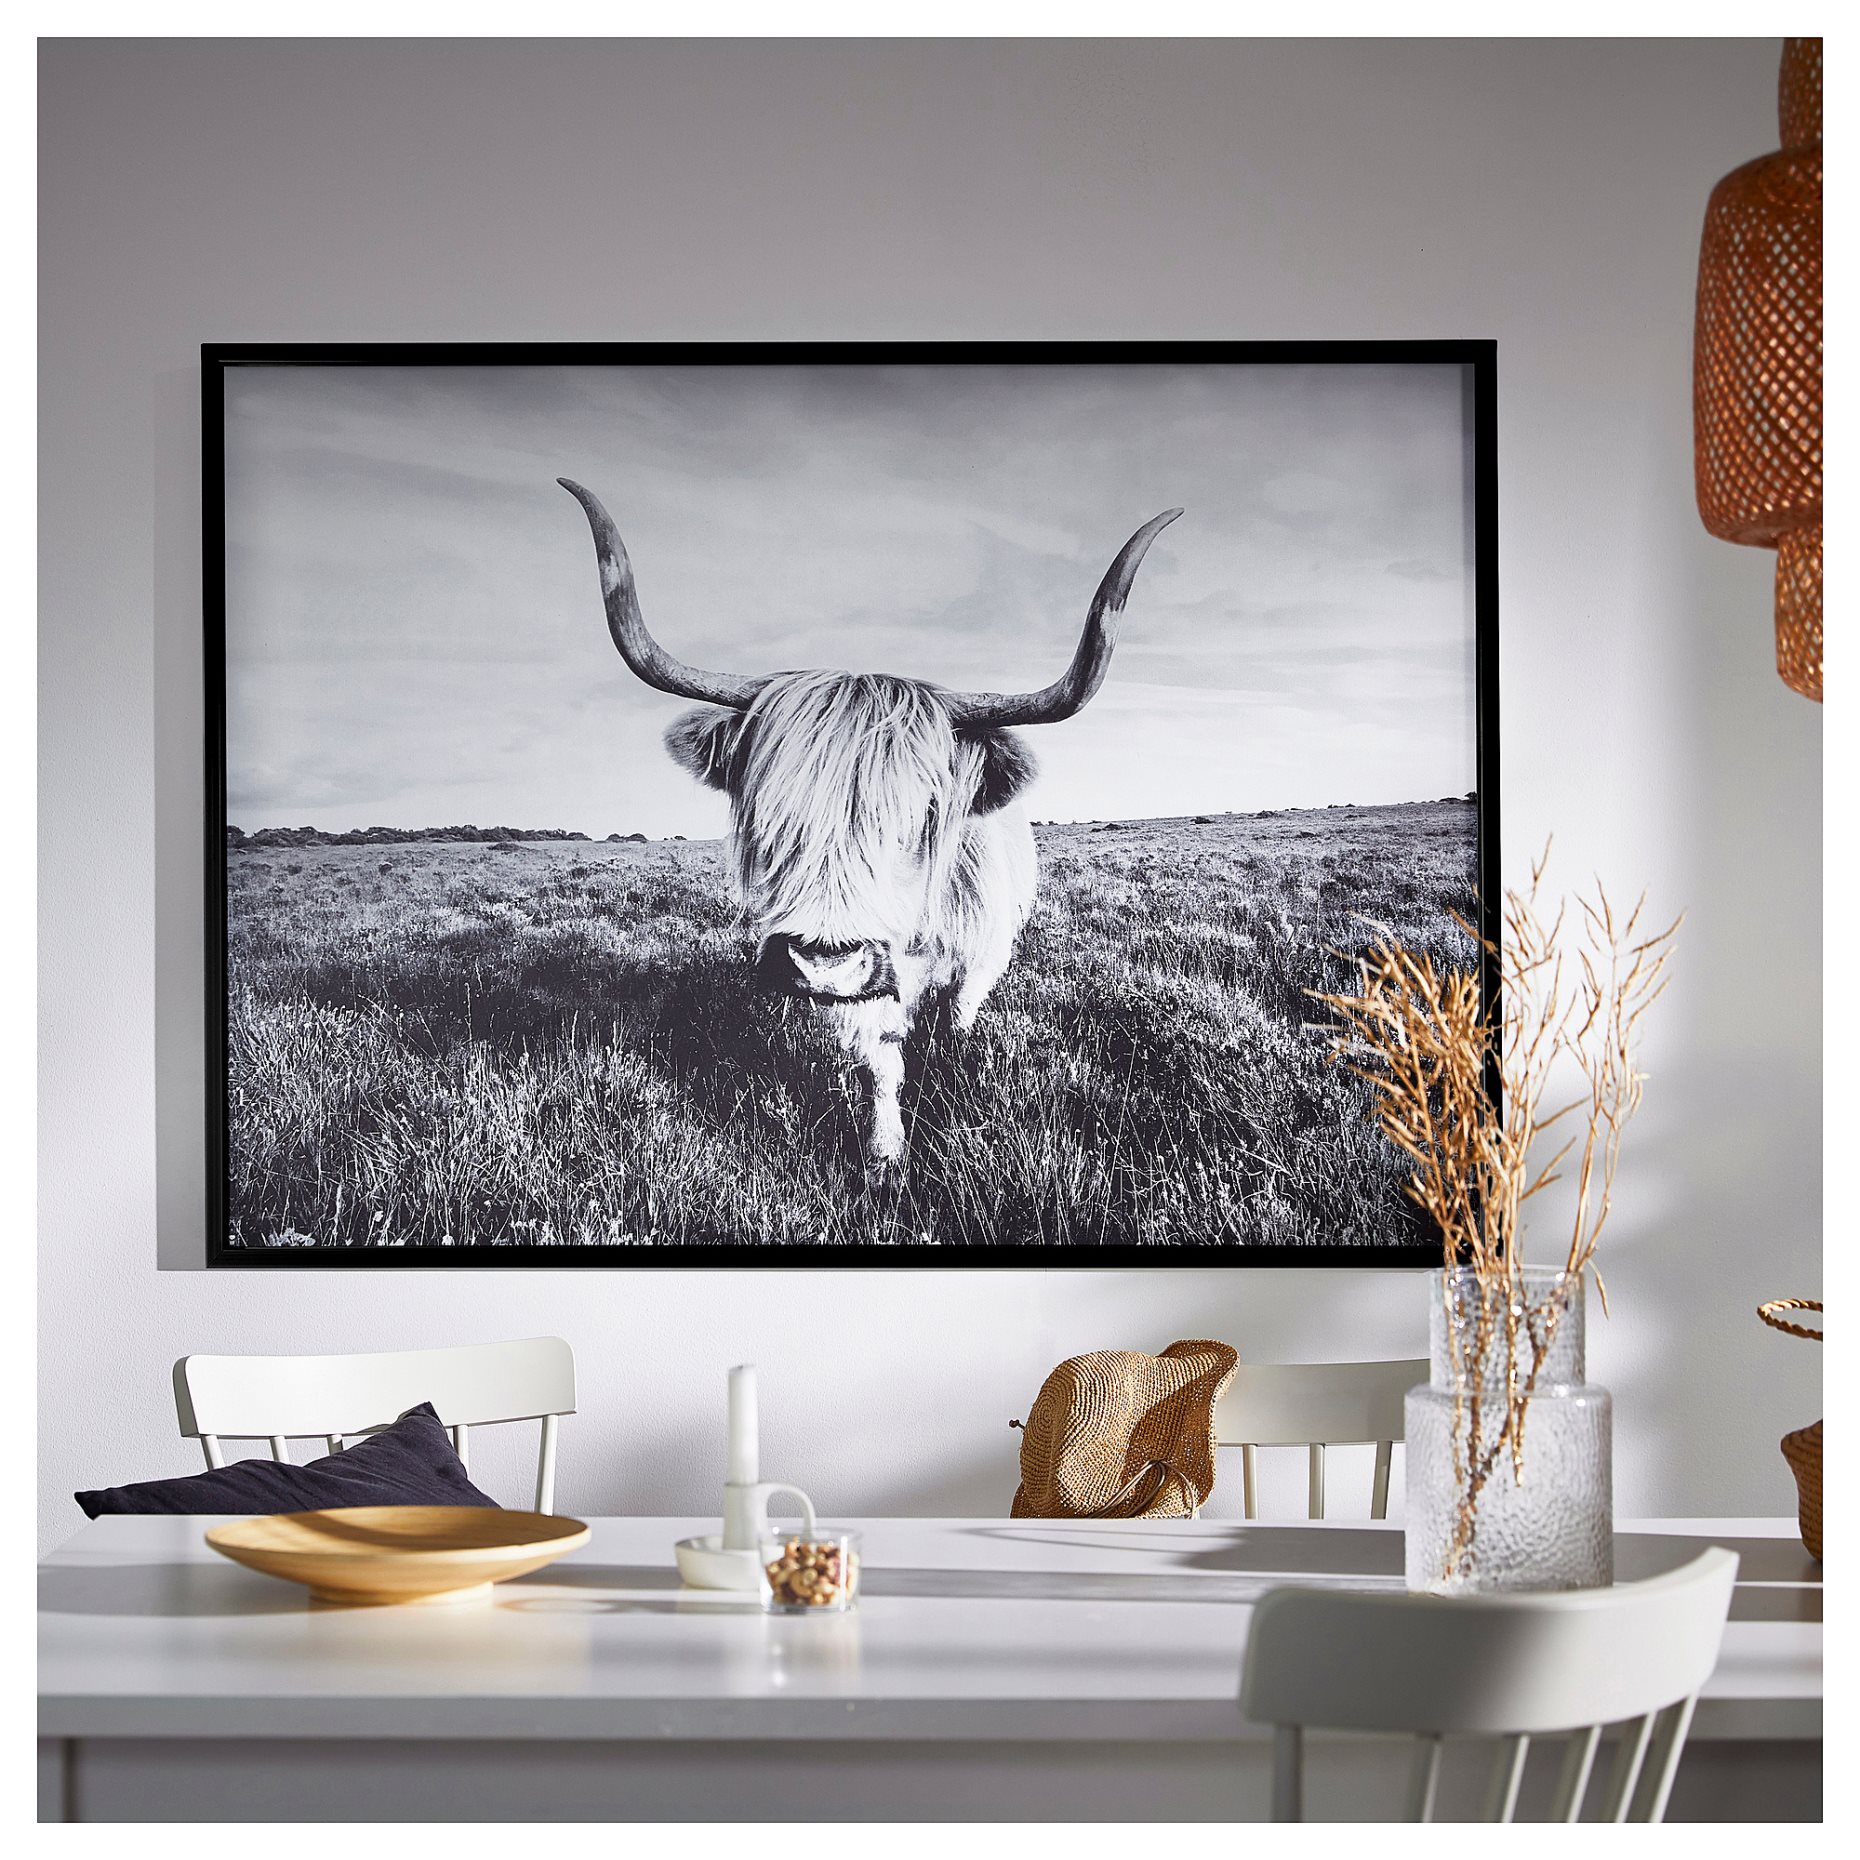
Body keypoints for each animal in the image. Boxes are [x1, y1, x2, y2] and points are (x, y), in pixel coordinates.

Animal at [560, 478, 1180, 1172]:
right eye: (769, 816)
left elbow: (956, 1023)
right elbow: (880, 1061)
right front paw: (885, 1158)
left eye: (922, 818)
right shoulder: (868, 991)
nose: (823, 967)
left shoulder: (977, 961)